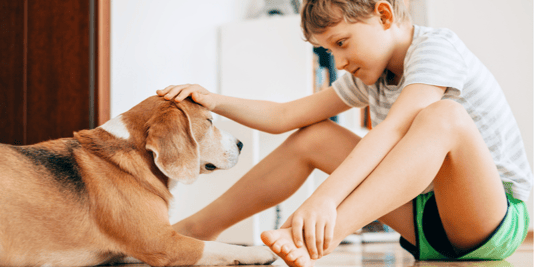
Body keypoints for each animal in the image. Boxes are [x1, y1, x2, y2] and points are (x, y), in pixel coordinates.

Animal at [0, 97, 276, 267]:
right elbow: (221, 246)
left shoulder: (126, 251)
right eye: (209, 122)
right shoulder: (163, 244)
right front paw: (259, 251)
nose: (241, 144)